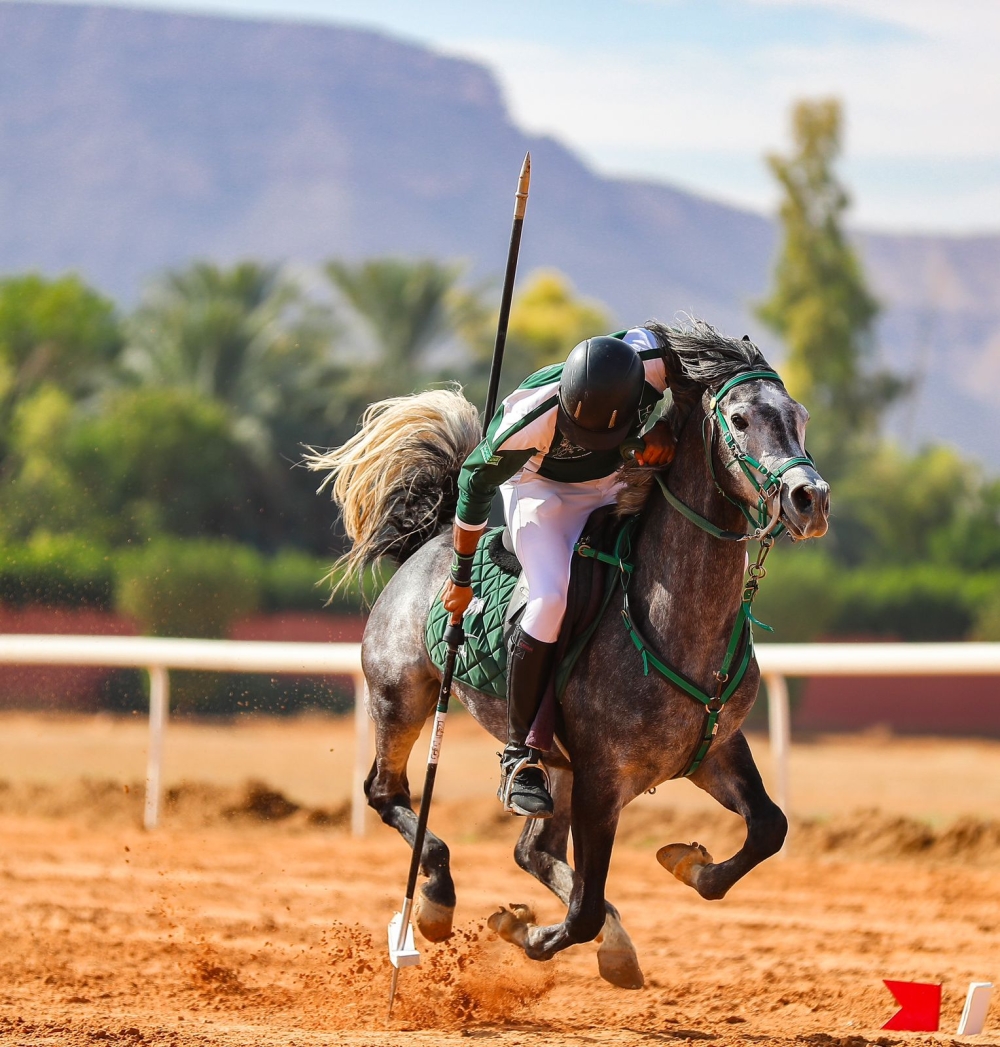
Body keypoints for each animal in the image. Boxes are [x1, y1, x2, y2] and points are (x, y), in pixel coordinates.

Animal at [309, 318, 829, 988]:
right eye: (739, 419)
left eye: (800, 415)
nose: (809, 499)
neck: (671, 621)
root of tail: (435, 538)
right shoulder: (602, 781)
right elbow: (582, 909)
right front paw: (530, 935)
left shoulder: (714, 748)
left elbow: (769, 828)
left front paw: (688, 864)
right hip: (402, 696)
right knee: (386, 792)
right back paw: (437, 901)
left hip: (554, 761)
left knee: (532, 849)